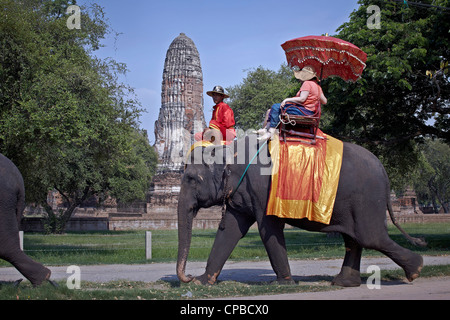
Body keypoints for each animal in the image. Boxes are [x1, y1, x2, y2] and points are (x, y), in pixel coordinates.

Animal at [176, 136, 426, 288]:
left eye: (191, 179)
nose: (187, 277)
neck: (230, 151)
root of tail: (384, 171)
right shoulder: (241, 193)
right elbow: (231, 231)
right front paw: (202, 282)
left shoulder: (262, 190)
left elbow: (268, 228)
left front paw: (282, 284)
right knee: (354, 238)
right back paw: (343, 283)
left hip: (367, 199)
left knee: (370, 237)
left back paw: (416, 270)